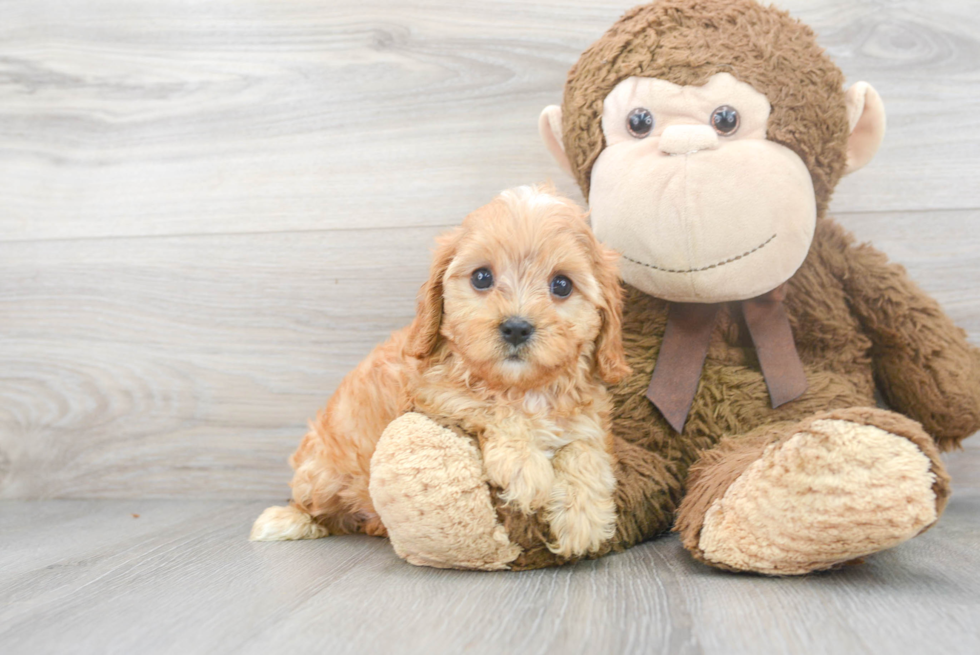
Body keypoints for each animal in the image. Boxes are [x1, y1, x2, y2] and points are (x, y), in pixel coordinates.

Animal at [251, 186, 628, 560]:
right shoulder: (434, 395)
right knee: (314, 506)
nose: (517, 328)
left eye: (562, 285)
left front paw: (584, 517)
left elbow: (585, 450)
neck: (522, 388)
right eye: (481, 277)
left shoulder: (589, 417)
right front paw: (526, 469)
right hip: (322, 473)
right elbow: (492, 409)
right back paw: (286, 520)